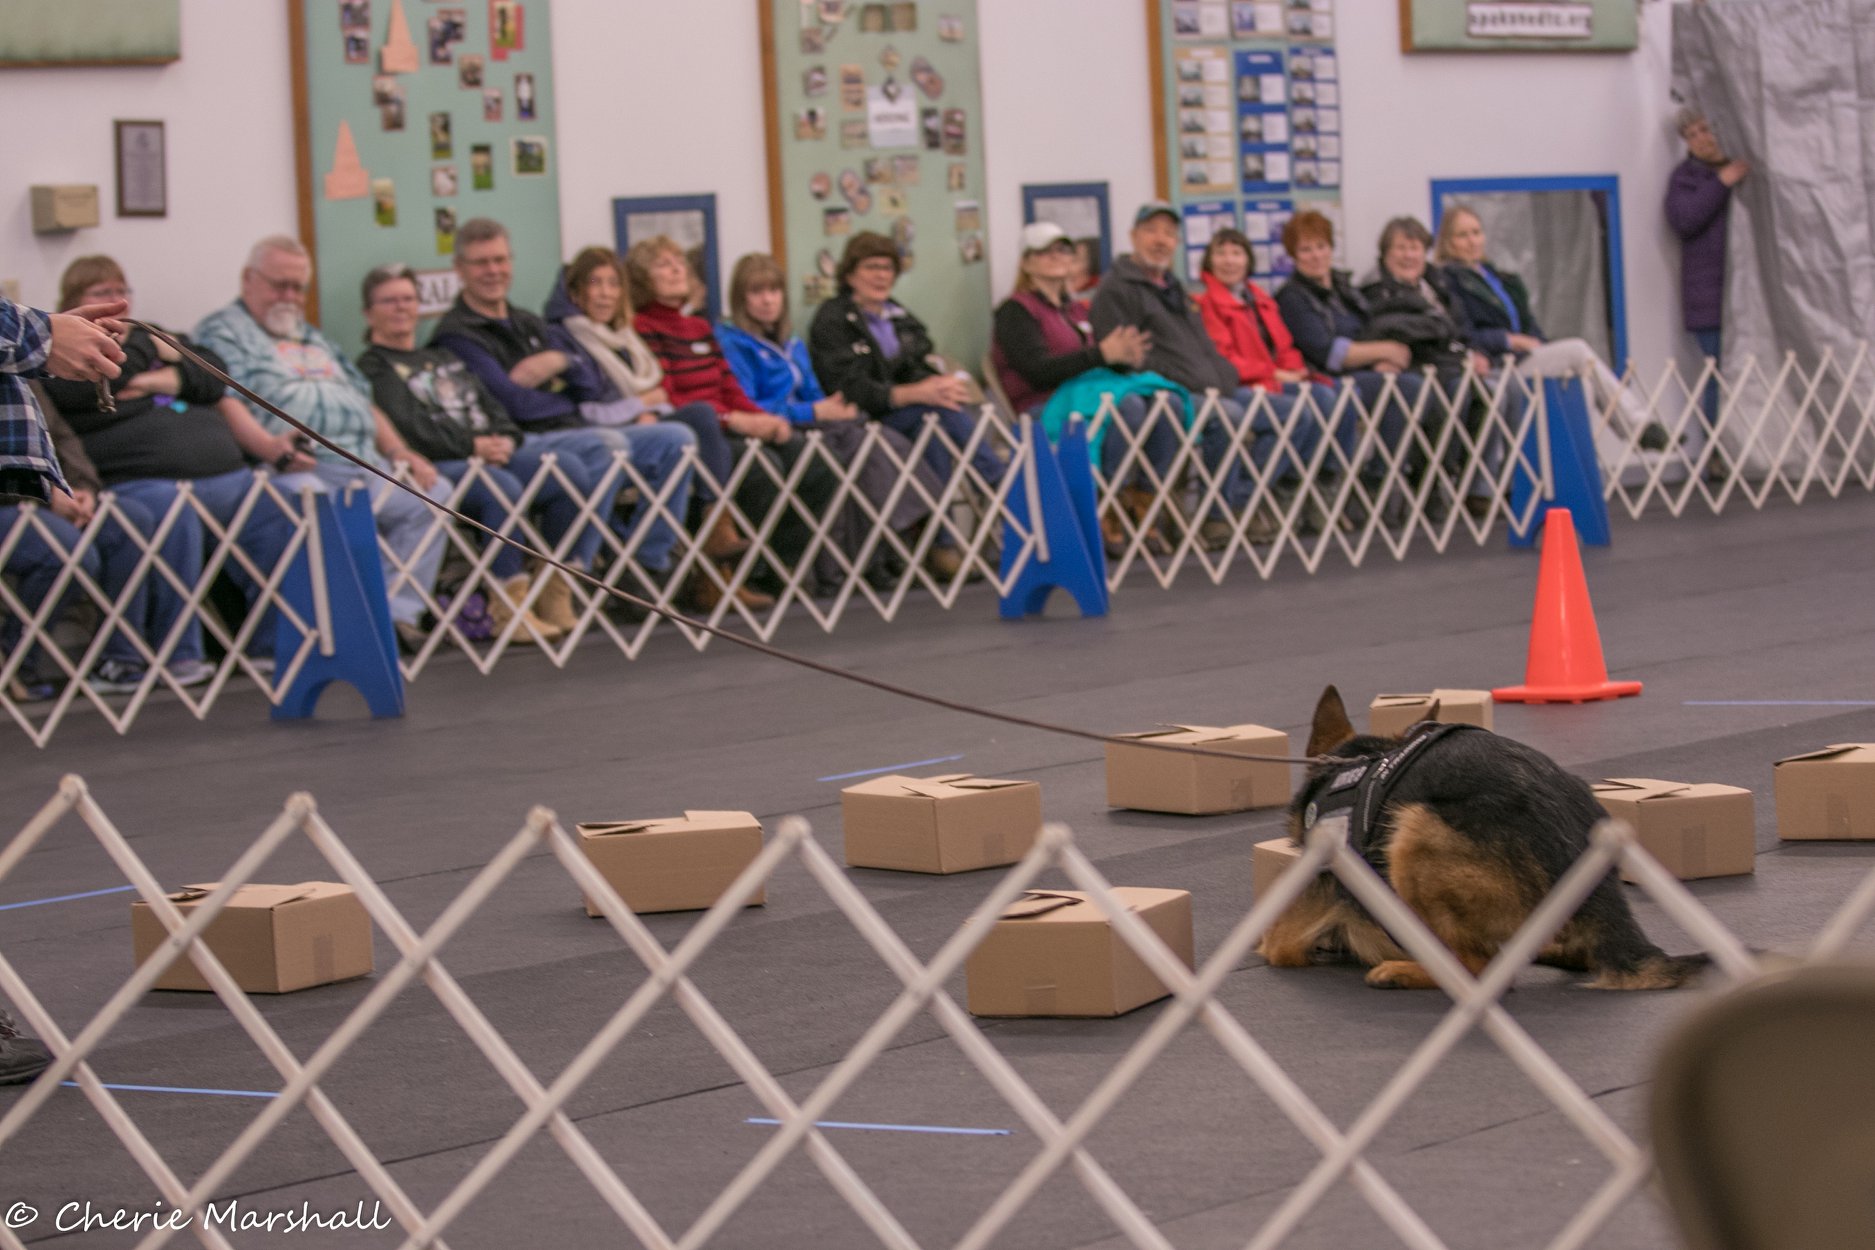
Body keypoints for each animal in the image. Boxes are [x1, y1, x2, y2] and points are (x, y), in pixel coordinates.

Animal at [1252, 689, 1710, 989]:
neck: (1356, 762)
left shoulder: (1287, 937)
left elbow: (1275, 944)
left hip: (1415, 831)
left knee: (1478, 969)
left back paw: (1405, 972)